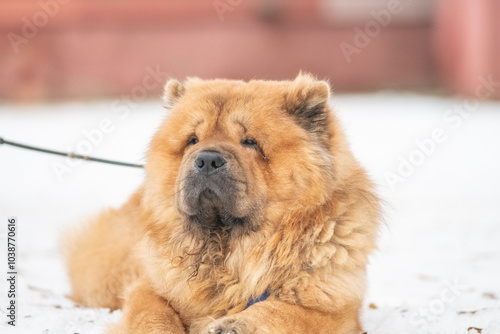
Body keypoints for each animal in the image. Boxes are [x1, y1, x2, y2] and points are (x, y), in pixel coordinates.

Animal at [63, 73, 378, 334]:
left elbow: (282, 312)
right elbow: (152, 313)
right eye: (192, 140)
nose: (207, 160)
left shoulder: (333, 308)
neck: (225, 249)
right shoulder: (149, 286)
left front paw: (234, 325)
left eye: (250, 142)